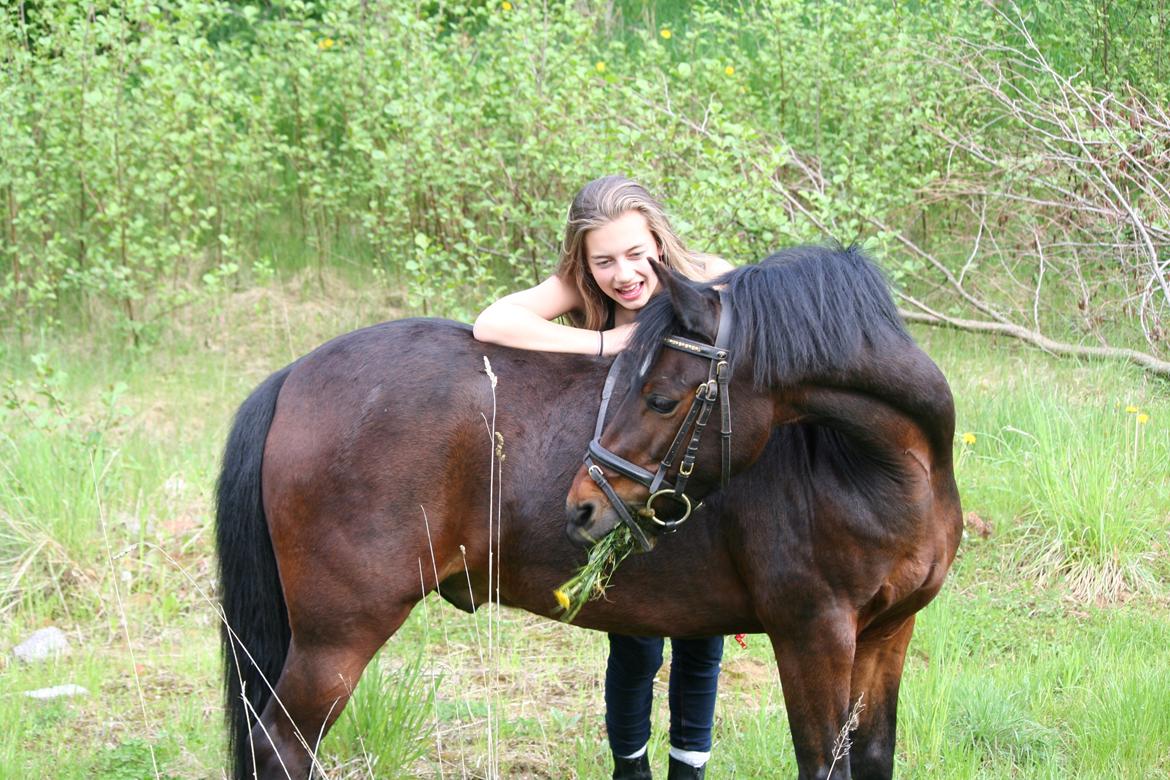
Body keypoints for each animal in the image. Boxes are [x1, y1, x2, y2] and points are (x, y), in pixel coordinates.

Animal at [217, 245, 959, 780]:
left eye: (660, 398)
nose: (583, 503)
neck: (877, 468)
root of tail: (293, 376)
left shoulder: (887, 635)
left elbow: (872, 758)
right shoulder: (812, 635)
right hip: (335, 639)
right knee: (281, 747)